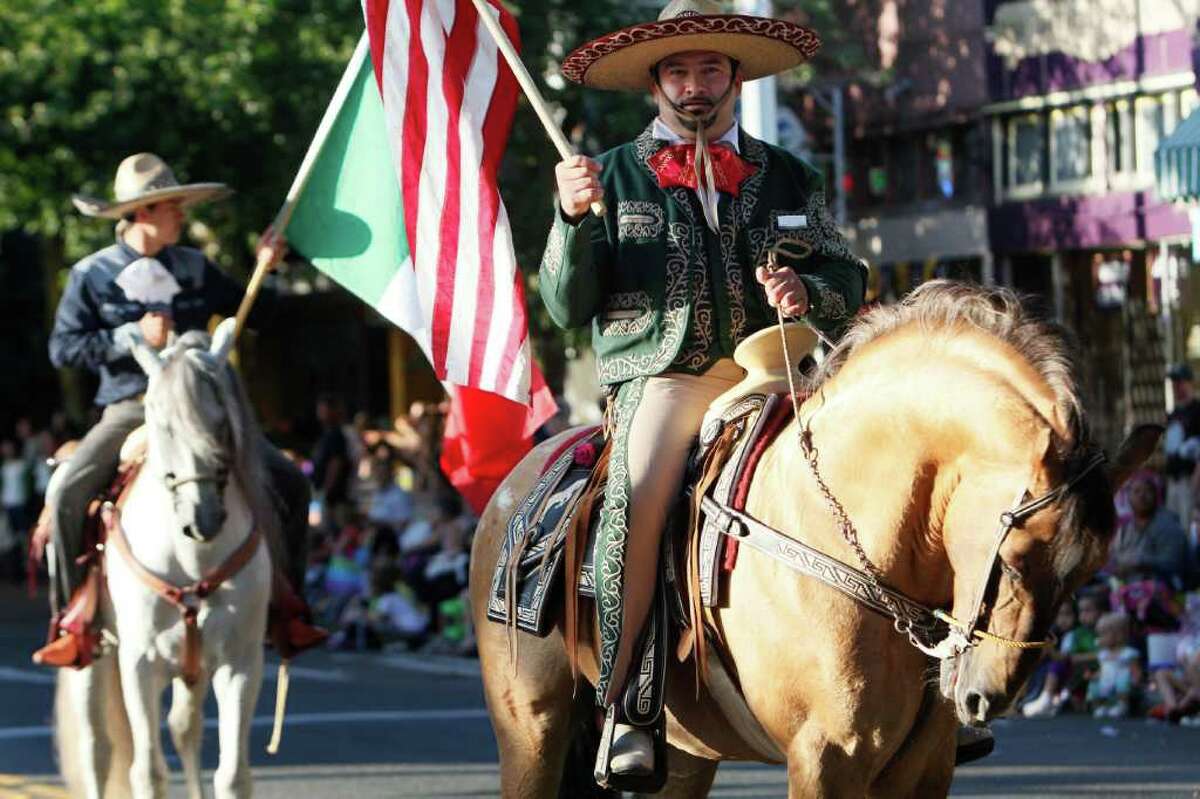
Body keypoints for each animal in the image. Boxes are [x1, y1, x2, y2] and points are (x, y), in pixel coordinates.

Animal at [57, 319, 282, 796]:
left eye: (221, 421)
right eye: (161, 421)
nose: (205, 517)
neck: (193, 559)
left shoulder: (240, 663)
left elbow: (232, 774)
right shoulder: (140, 663)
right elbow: (147, 771)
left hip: (191, 667)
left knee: (185, 728)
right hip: (93, 653)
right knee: (96, 747)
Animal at [470, 278, 1161, 791]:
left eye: (1088, 573)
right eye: (1014, 560)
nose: (984, 697)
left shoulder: (921, 769)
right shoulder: (825, 758)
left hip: (687, 754)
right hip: (532, 730)